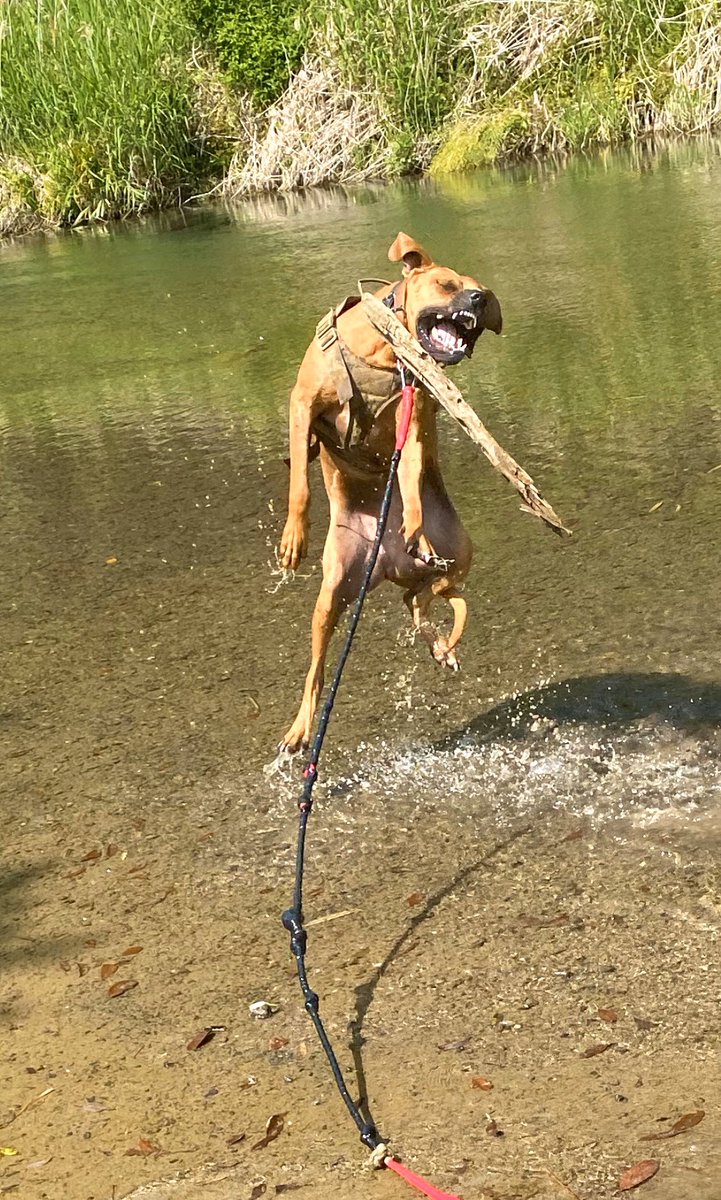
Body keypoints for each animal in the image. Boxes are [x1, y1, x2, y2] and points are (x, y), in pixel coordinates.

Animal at [277, 234, 501, 753]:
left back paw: (438, 635)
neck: (383, 352)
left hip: (459, 553)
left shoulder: (414, 424)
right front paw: (293, 538)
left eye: (481, 290)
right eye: (447, 284)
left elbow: (411, 481)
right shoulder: (301, 405)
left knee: (424, 602)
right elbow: (299, 483)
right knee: (318, 671)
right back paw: (301, 728)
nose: (480, 300)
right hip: (332, 594)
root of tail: (386, 562)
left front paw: (413, 524)